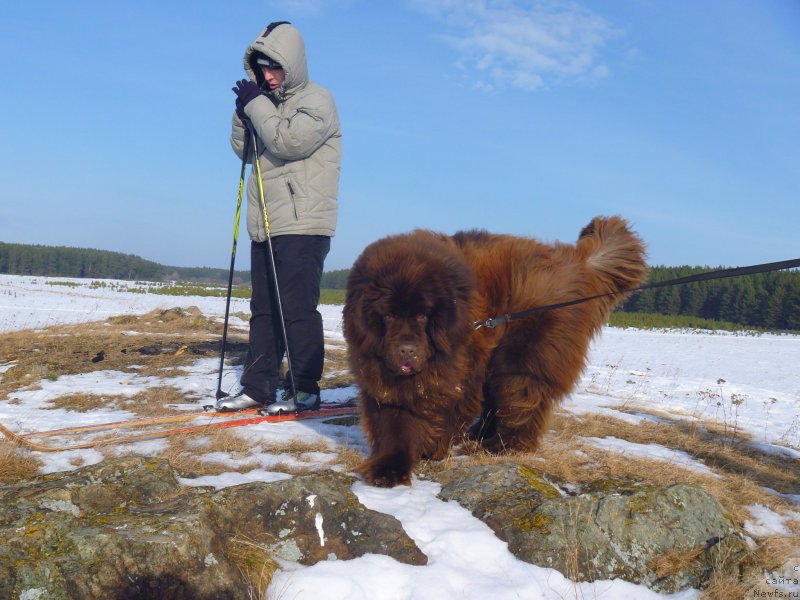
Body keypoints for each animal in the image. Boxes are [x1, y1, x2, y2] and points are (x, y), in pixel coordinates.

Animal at [340, 217, 648, 488]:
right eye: (389, 316)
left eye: (422, 315)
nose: (407, 350)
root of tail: (576, 263)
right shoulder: (385, 381)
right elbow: (394, 425)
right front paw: (388, 470)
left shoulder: (459, 371)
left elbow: (446, 411)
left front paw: (433, 447)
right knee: (496, 401)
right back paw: (479, 436)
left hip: (523, 353)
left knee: (522, 398)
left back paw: (503, 446)